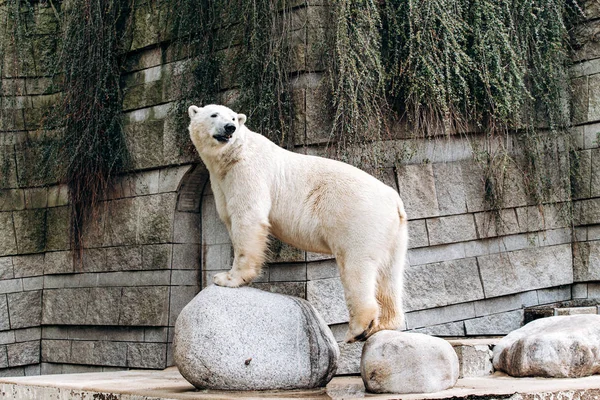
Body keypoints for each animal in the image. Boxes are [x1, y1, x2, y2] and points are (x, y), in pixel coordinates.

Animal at [190, 103, 410, 340]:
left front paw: (227, 278)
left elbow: (248, 218)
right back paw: (385, 323)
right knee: (390, 274)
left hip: (359, 218)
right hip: (395, 233)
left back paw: (359, 329)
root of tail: (395, 201)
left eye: (232, 118)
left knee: (357, 267)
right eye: (214, 114)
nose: (229, 128)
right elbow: (229, 216)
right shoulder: (222, 180)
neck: (232, 155)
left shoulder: (247, 172)